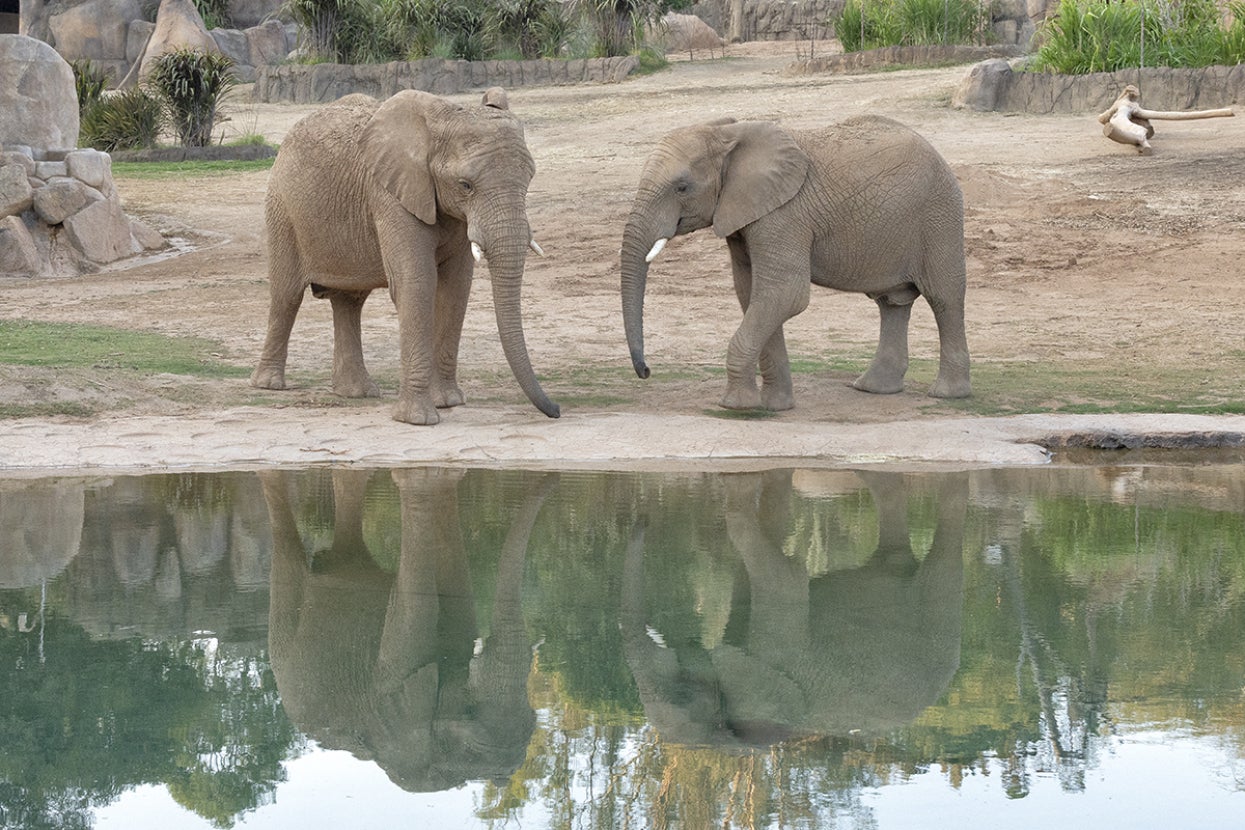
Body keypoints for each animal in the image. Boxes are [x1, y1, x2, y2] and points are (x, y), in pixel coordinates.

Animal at [252, 87, 560, 425]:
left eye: (529, 179)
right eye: (465, 185)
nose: (556, 410)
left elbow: (455, 289)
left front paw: (448, 402)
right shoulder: (391, 194)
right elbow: (417, 283)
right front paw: (418, 419)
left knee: (349, 301)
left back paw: (357, 392)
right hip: (282, 208)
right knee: (287, 295)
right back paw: (269, 385)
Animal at [620, 115, 970, 411]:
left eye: (682, 187)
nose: (646, 371)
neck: (730, 134)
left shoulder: (784, 215)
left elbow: (784, 294)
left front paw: (736, 406)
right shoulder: (747, 215)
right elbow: (753, 295)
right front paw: (775, 406)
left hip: (939, 216)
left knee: (944, 299)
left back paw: (947, 394)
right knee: (891, 303)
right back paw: (872, 388)